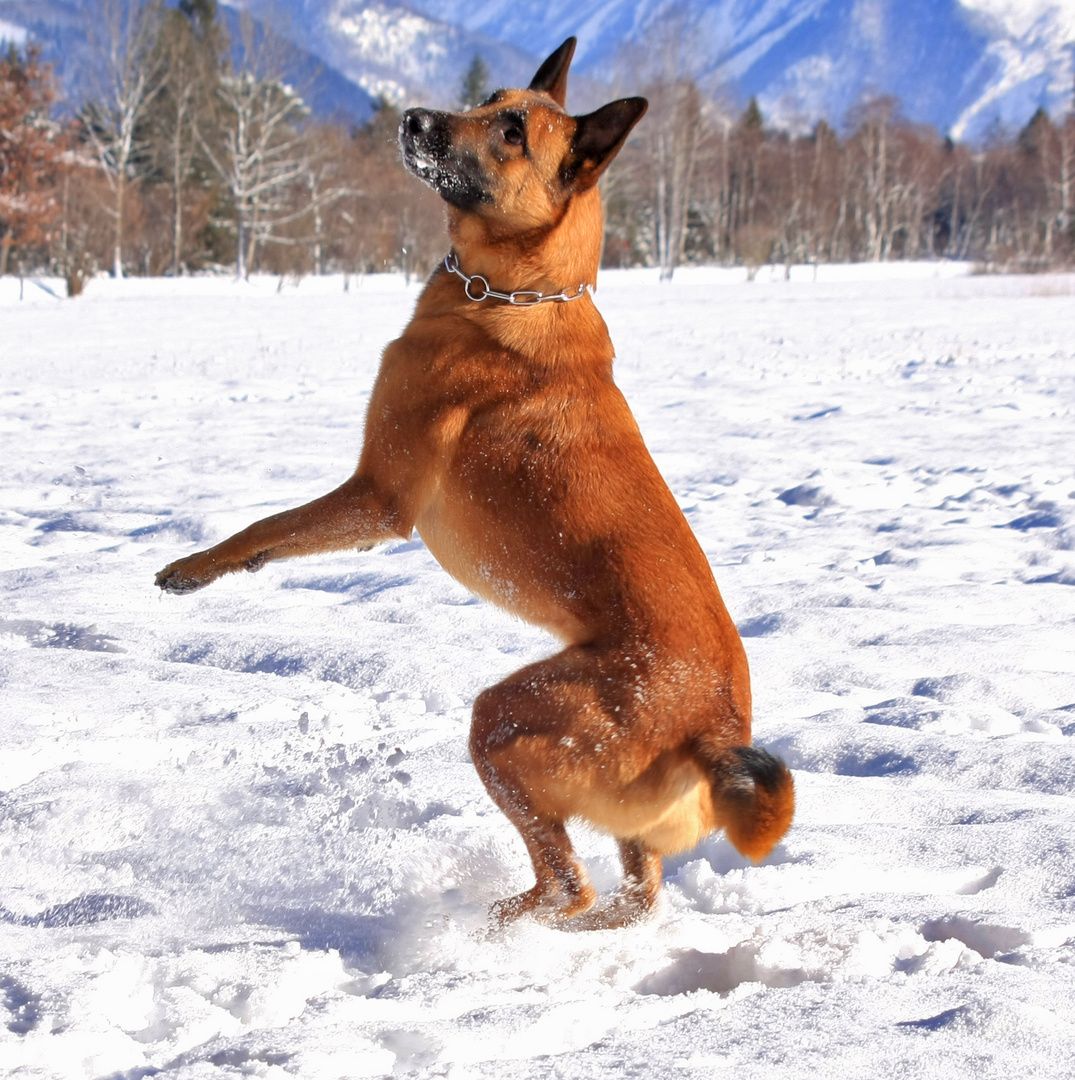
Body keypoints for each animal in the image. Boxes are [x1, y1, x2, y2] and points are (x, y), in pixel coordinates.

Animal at [155, 38, 795, 924]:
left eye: (513, 134)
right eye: (487, 99)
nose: (411, 117)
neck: (519, 292)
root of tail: (716, 730)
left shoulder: (380, 495)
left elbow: (269, 524)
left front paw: (194, 568)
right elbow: (277, 533)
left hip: (502, 719)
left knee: (565, 884)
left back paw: (471, 928)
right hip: (614, 807)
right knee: (630, 892)